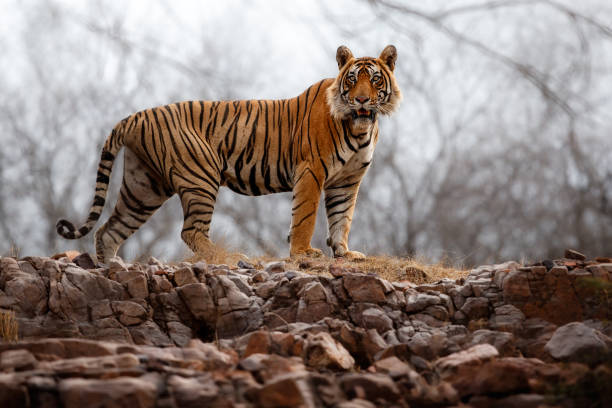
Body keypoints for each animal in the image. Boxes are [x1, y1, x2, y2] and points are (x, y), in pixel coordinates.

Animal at [56, 44, 402, 262]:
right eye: (352, 79)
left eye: (374, 79)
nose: (361, 100)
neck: (360, 128)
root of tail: (134, 117)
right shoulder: (311, 171)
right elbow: (305, 217)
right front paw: (303, 253)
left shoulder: (347, 180)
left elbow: (343, 217)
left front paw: (344, 253)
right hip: (200, 177)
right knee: (190, 231)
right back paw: (230, 256)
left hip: (144, 188)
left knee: (108, 231)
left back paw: (110, 268)